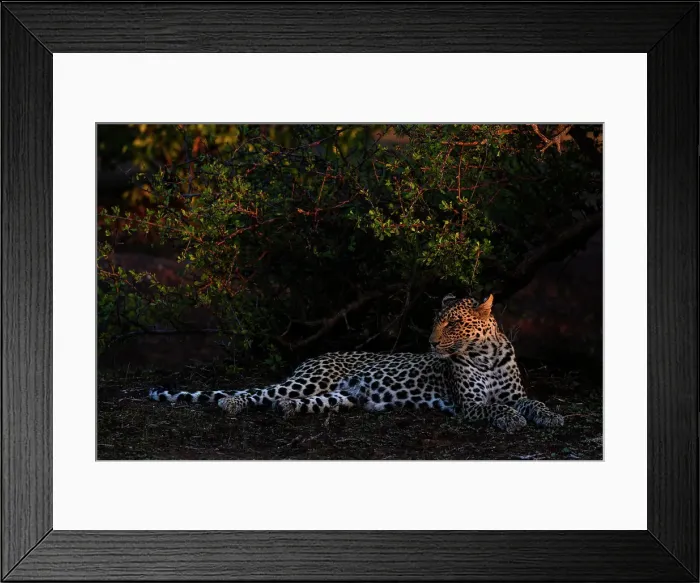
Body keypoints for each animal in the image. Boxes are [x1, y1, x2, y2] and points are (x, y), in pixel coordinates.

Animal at [148, 294, 564, 432]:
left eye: (453, 323)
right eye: (436, 322)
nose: (430, 342)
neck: (486, 356)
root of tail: (319, 355)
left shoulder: (514, 392)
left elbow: (531, 402)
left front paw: (551, 417)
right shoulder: (470, 405)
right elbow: (495, 408)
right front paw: (511, 420)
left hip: (342, 396)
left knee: (285, 400)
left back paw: (288, 410)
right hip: (310, 380)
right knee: (256, 392)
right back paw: (231, 403)